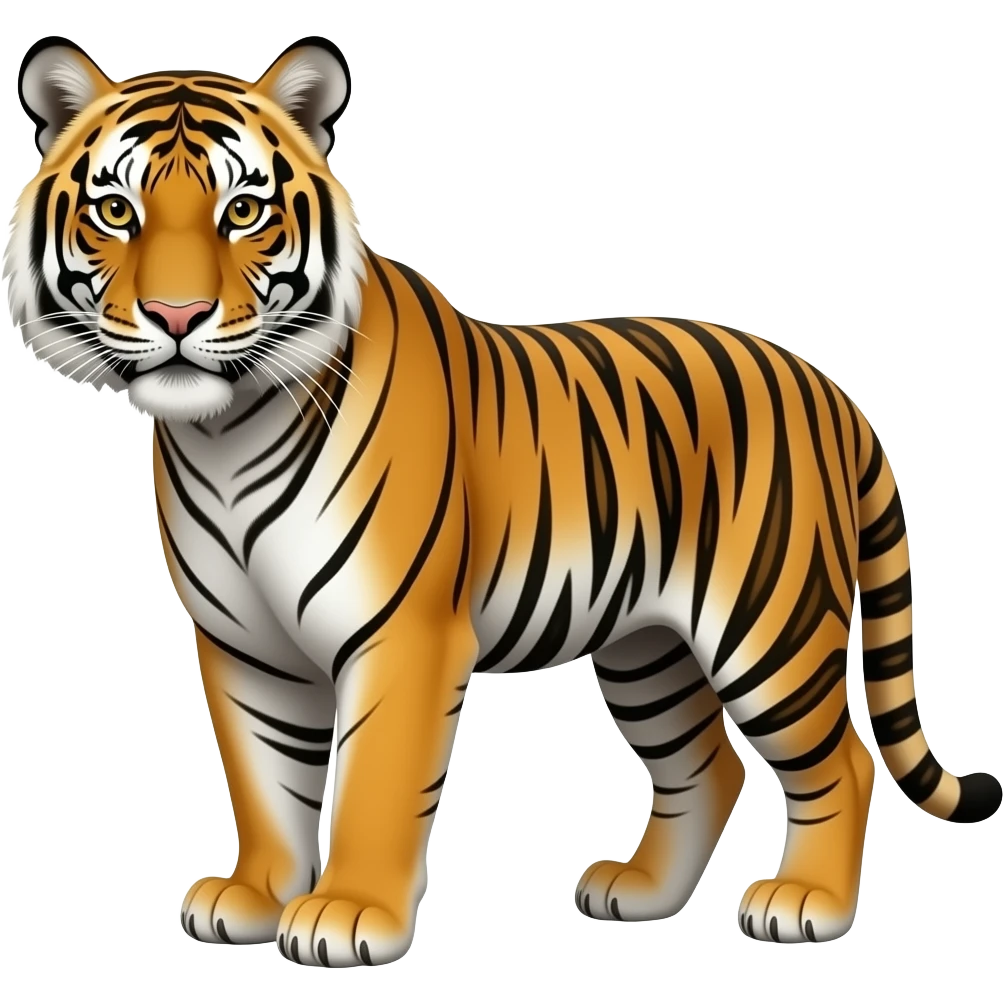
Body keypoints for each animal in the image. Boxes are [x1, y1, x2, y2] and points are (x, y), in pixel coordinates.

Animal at [6, 32, 1000, 968]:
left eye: (242, 211)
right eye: (116, 212)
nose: (177, 318)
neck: (224, 433)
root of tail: (826, 385)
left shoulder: (402, 633)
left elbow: (372, 782)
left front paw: (347, 914)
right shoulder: (245, 645)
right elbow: (264, 780)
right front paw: (253, 897)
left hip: (769, 625)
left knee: (845, 761)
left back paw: (807, 904)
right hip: (647, 646)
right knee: (708, 767)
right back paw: (639, 892)